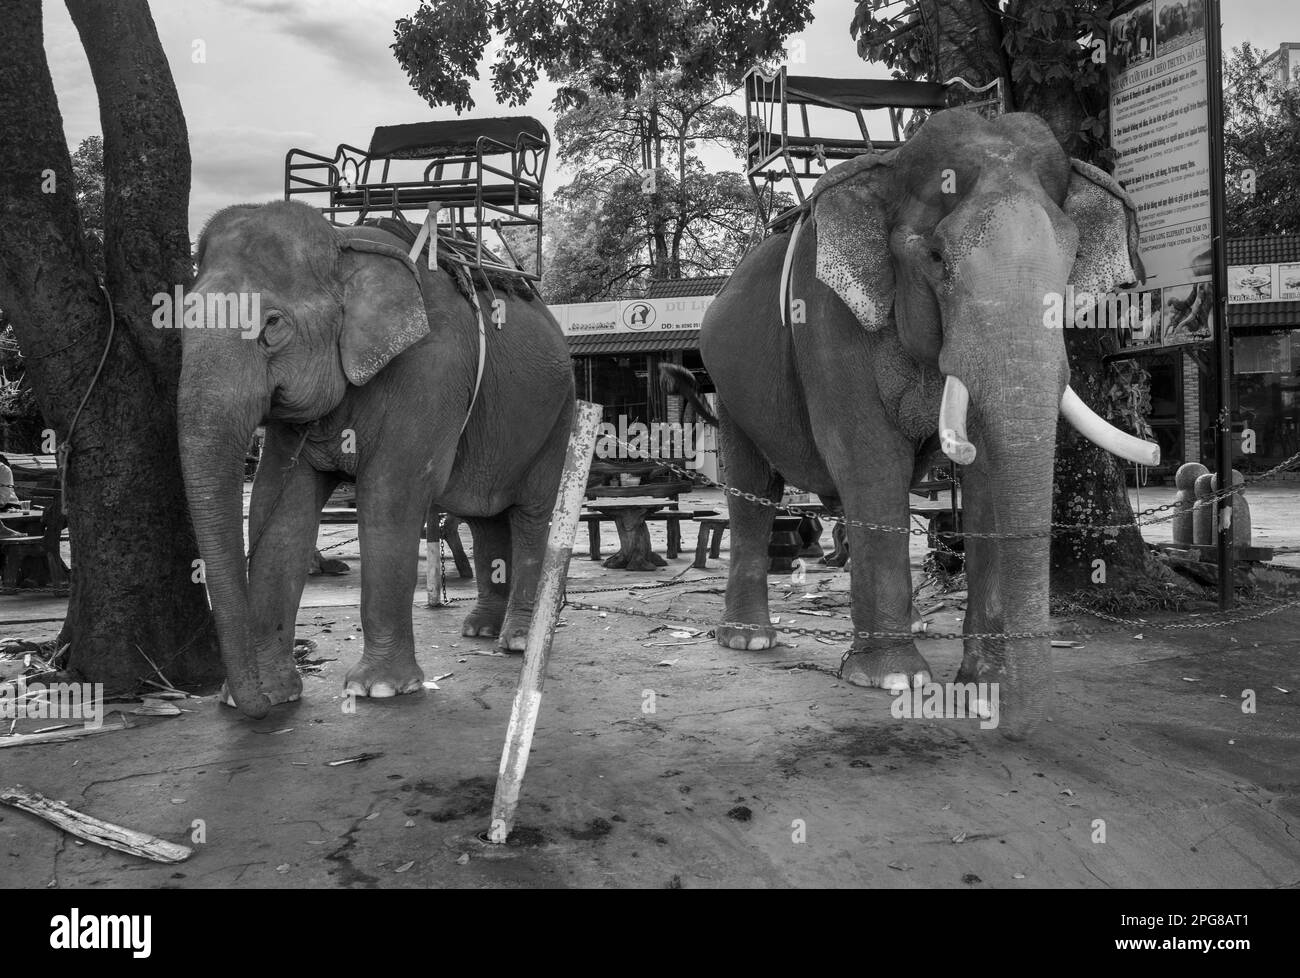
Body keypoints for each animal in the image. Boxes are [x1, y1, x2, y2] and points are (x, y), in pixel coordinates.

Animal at [178, 200, 574, 717]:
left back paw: (519, 641)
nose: (255, 705)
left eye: (272, 325)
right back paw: (480, 629)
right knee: (483, 515)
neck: (342, 242)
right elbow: (278, 508)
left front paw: (378, 689)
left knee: (531, 514)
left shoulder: (430, 370)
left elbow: (389, 495)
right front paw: (271, 692)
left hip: (558, 412)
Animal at [691, 110, 1159, 738]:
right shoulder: (826, 318)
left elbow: (984, 476)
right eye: (938, 259)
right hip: (730, 386)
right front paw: (893, 680)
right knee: (753, 491)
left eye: (1072, 262)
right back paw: (748, 640)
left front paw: (980, 683)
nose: (1017, 714)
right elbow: (869, 460)